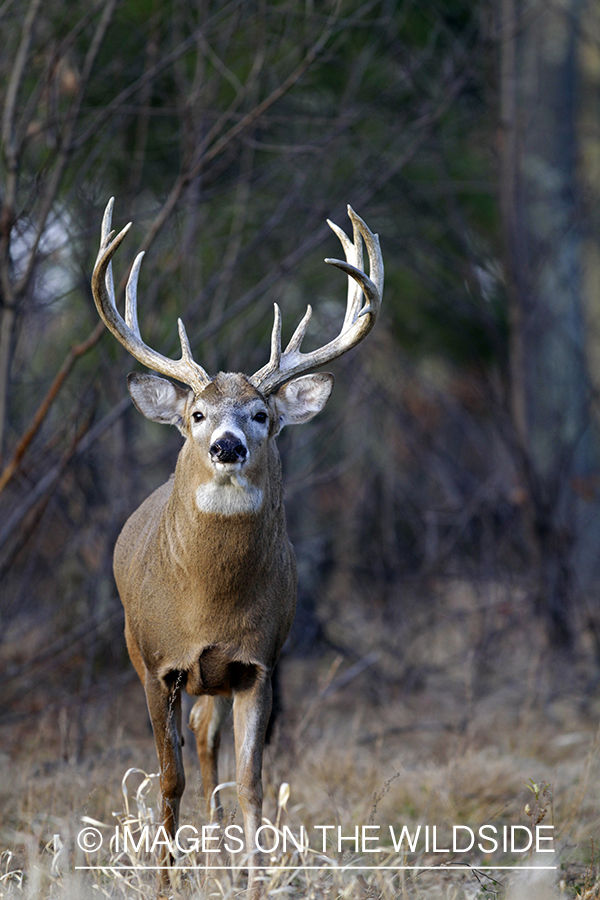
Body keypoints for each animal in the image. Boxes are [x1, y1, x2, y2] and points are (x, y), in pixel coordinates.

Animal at [91, 200, 382, 896]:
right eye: (197, 415)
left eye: (261, 415)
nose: (227, 445)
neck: (208, 604)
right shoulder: (159, 663)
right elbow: (167, 779)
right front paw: (164, 881)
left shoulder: (259, 662)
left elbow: (251, 781)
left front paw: (252, 879)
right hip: (139, 651)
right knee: (191, 752)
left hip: (220, 680)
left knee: (207, 742)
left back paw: (223, 864)